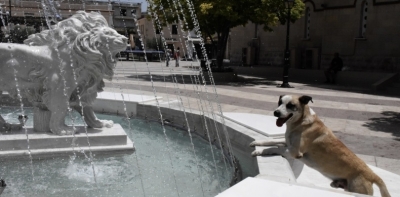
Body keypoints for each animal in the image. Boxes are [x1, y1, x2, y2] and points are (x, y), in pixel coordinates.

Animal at [250, 94, 390, 196]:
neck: (300, 121)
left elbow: (272, 148)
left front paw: (258, 151)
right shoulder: (287, 142)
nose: (276, 112)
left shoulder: (294, 151)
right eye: (279, 103)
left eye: (290, 105)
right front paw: (257, 142)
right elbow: (271, 141)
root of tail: (372, 174)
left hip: (358, 189)